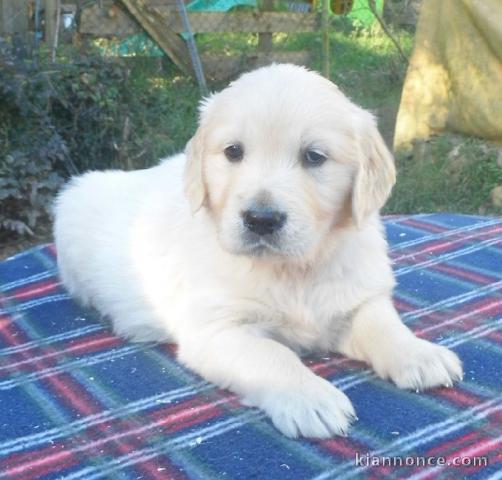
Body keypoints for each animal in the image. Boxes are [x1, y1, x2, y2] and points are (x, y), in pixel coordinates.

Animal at [55, 63, 462, 438]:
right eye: (233, 152)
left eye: (314, 156)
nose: (261, 219)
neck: (293, 269)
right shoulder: (218, 330)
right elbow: (273, 354)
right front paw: (310, 397)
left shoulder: (358, 294)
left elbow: (383, 324)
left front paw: (418, 353)